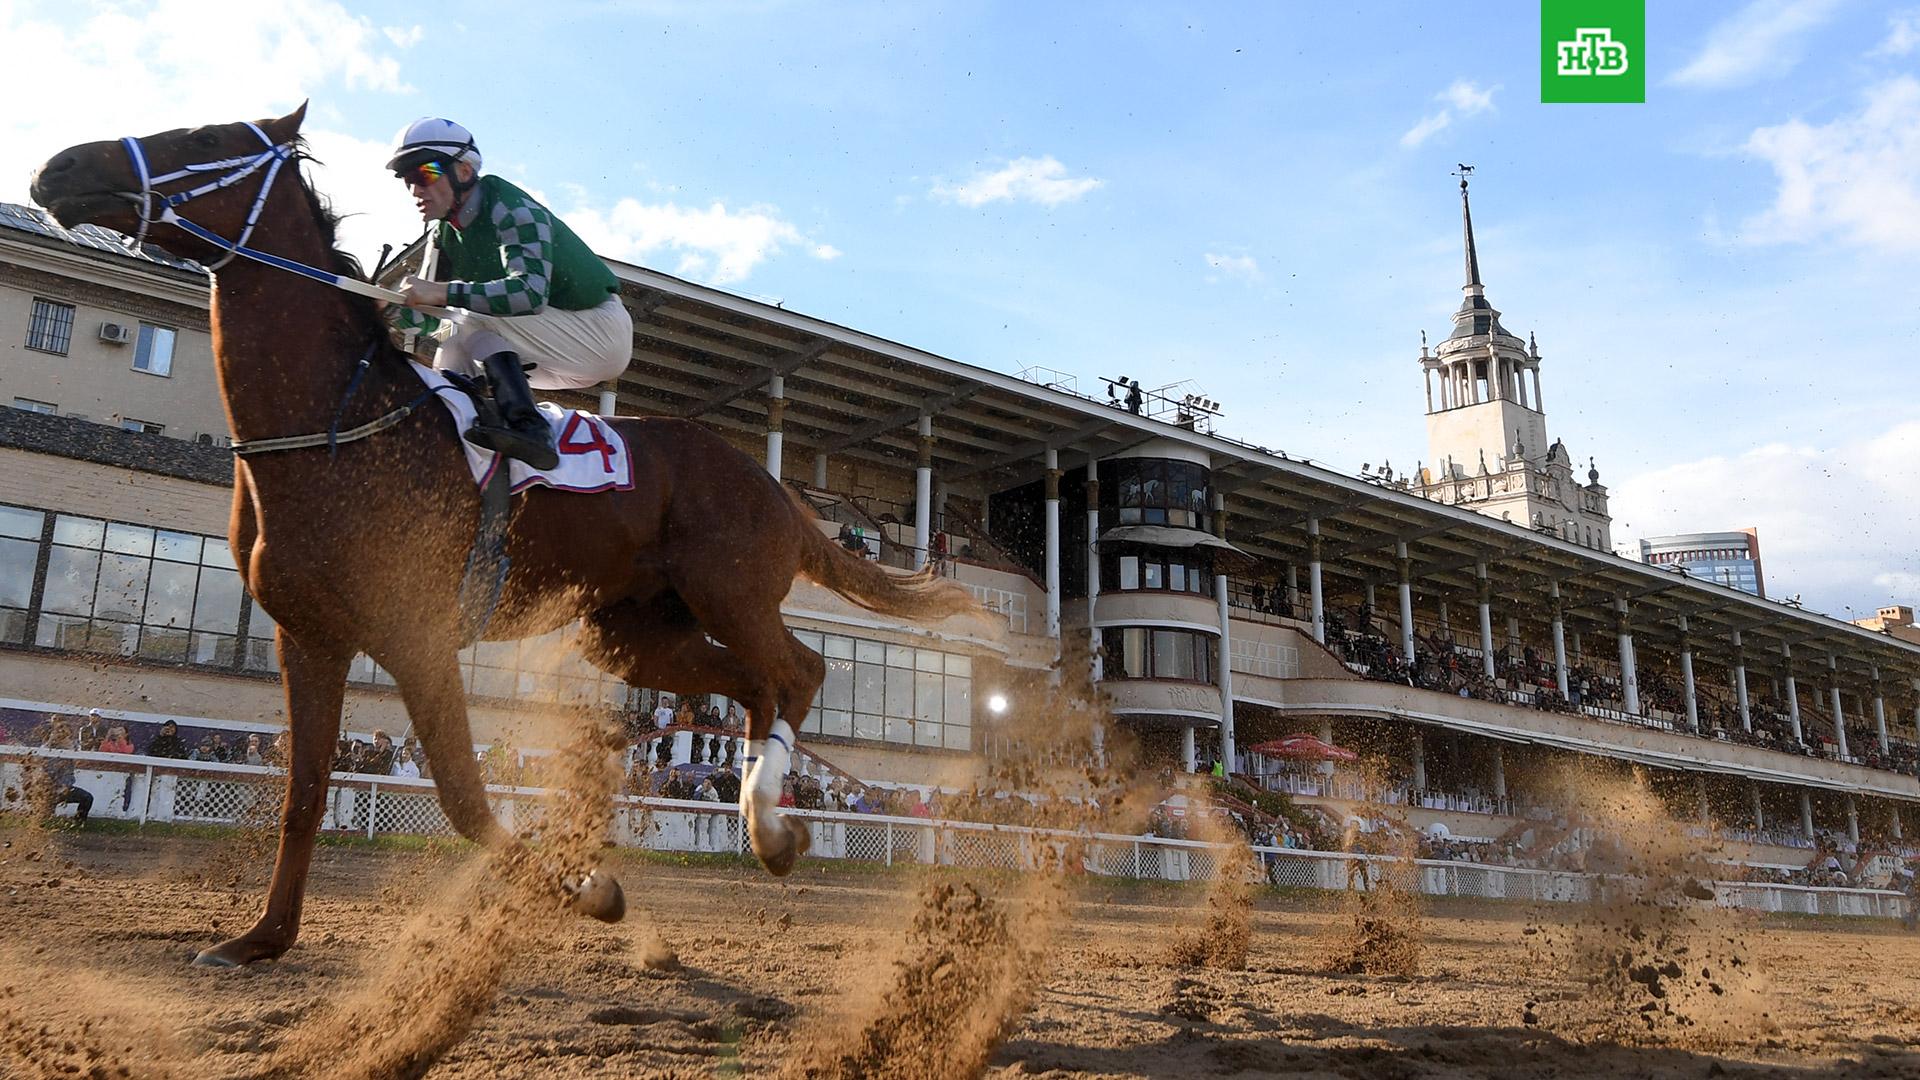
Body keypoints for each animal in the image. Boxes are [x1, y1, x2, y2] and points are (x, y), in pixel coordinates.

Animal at [33, 107, 975, 968]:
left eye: (199, 138)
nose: (55, 166)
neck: (337, 425)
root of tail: (775, 487)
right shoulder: (308, 636)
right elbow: (304, 791)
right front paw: (262, 938)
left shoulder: (416, 634)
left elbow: (465, 796)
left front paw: (593, 892)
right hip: (629, 634)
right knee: (751, 684)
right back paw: (762, 819)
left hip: (730, 591)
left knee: (799, 670)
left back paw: (772, 827)